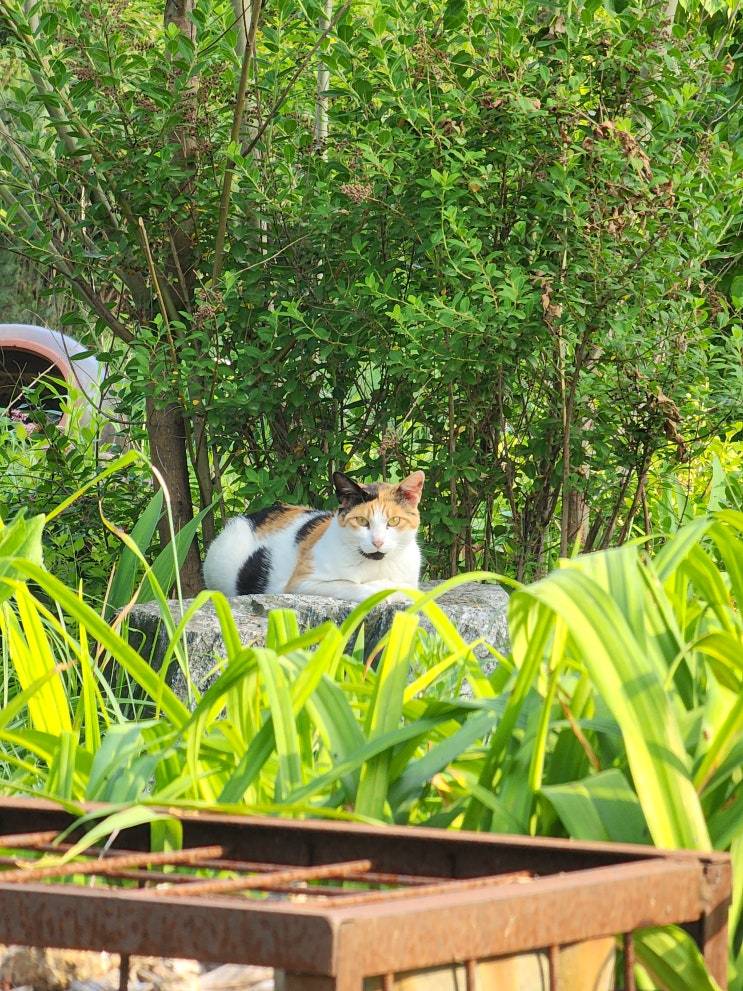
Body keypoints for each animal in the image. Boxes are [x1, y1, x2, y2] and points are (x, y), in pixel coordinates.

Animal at [203, 472, 424, 604]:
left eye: (394, 521)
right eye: (362, 520)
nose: (377, 542)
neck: (376, 567)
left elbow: (406, 587)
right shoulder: (301, 583)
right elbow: (349, 585)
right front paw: (381, 590)